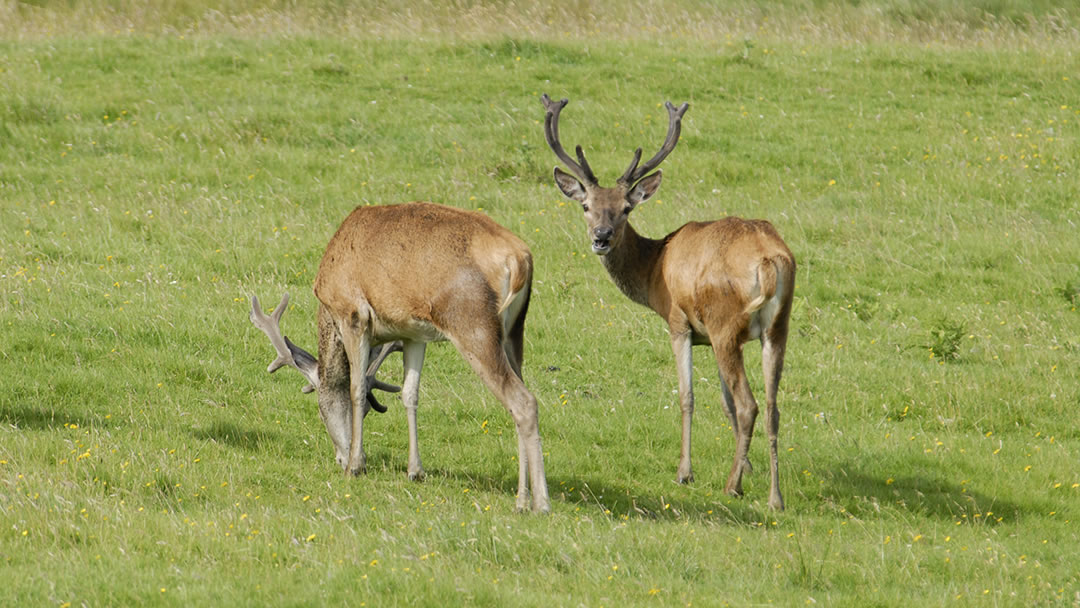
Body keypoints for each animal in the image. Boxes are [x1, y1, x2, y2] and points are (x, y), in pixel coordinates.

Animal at [247, 203, 548, 514]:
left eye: (319, 411)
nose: (339, 458)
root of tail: (519, 260)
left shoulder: (353, 314)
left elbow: (356, 388)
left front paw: (356, 466)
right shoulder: (414, 335)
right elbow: (410, 394)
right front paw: (415, 471)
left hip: (472, 323)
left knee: (523, 401)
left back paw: (538, 502)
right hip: (514, 332)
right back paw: (523, 500)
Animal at [544, 95, 799, 511]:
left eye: (626, 208)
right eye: (586, 206)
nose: (601, 236)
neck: (654, 270)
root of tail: (769, 261)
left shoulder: (680, 323)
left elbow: (687, 396)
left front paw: (685, 472)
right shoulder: (708, 335)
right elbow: (724, 403)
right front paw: (747, 468)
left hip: (727, 323)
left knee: (750, 404)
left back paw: (731, 487)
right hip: (777, 327)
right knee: (773, 405)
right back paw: (774, 497)